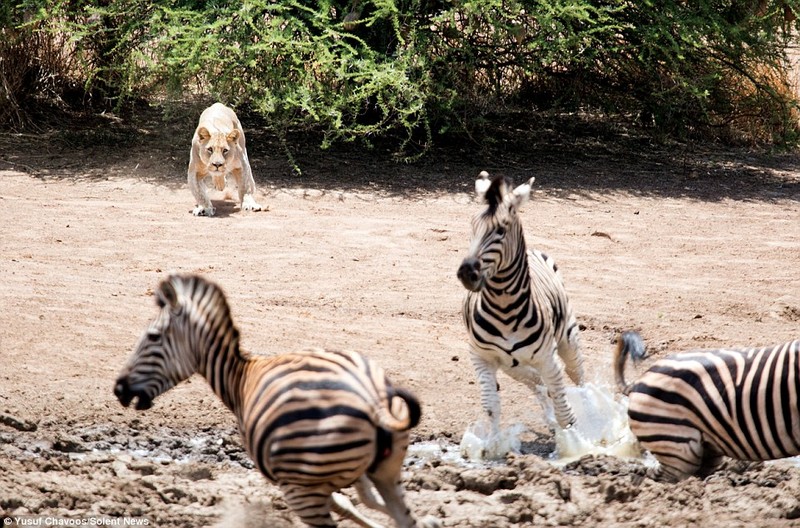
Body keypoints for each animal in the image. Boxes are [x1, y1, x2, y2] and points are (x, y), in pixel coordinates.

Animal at [113, 274, 440, 524]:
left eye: (153, 337)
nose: (118, 389)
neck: (239, 378)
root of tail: (371, 398)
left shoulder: (302, 483)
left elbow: (349, 503)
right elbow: (360, 500)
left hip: (302, 490)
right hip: (387, 471)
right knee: (402, 516)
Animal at [456, 170, 588, 450]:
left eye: (500, 230)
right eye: (472, 226)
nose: (466, 273)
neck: (504, 310)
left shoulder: (549, 358)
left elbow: (565, 410)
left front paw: (576, 446)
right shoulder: (481, 357)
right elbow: (491, 405)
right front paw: (492, 448)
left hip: (567, 339)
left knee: (579, 378)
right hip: (512, 365)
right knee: (537, 383)